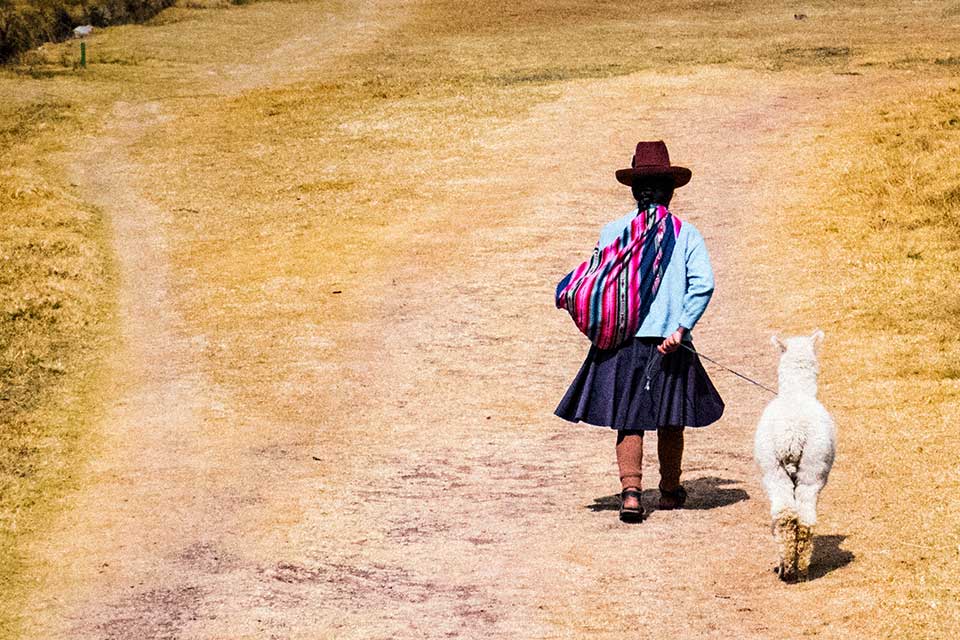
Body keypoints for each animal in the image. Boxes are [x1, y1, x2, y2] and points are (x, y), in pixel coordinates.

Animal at [754, 330, 836, 582]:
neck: (797, 392)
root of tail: (792, 434)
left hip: (781, 468)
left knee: (790, 516)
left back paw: (791, 568)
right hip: (809, 466)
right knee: (800, 516)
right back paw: (796, 568)